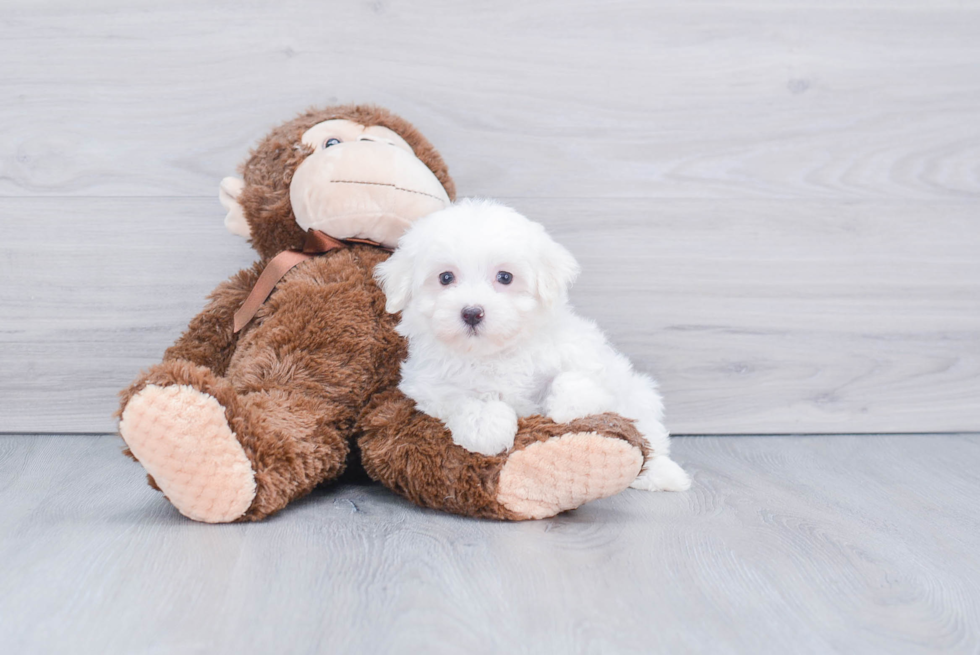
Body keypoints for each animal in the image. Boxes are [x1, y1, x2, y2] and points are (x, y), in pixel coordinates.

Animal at [374, 200, 688, 492]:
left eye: (505, 277)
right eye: (445, 277)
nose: (472, 312)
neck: (495, 353)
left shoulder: (583, 354)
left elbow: (575, 378)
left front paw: (569, 406)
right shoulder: (429, 386)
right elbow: (464, 398)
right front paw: (487, 428)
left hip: (641, 395)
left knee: (651, 437)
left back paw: (665, 474)